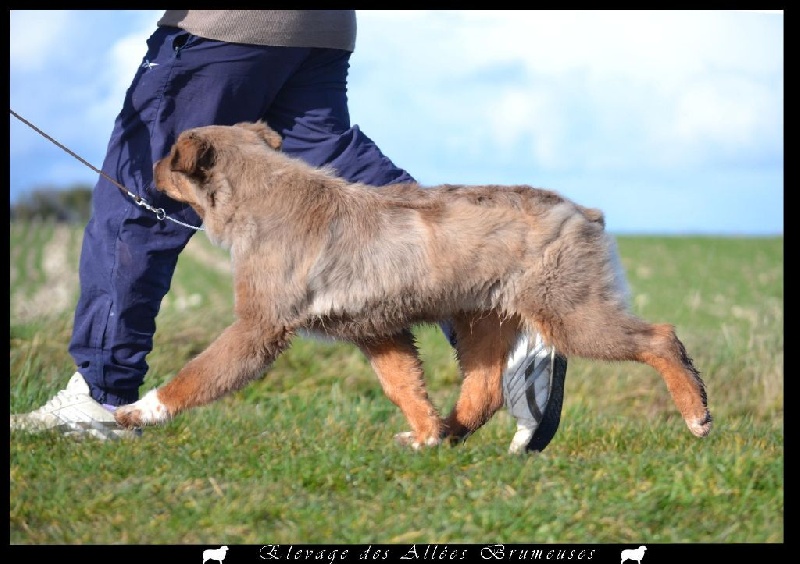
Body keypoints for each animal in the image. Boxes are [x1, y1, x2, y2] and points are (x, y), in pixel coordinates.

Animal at [114, 121, 712, 448]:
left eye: (170, 156)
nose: (144, 168)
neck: (261, 193)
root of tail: (583, 212)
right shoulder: (378, 331)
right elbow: (405, 388)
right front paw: (425, 435)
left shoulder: (257, 329)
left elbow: (196, 376)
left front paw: (135, 413)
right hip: (485, 321)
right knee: (484, 391)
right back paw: (449, 434)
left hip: (573, 312)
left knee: (660, 337)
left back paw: (696, 415)